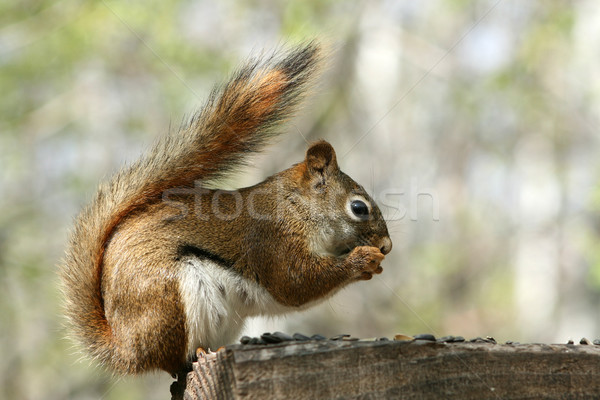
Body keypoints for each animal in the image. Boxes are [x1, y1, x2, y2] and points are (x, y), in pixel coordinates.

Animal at [58, 43, 392, 376]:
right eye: (359, 208)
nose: (387, 247)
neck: (296, 206)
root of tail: (125, 349)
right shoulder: (272, 239)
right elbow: (295, 282)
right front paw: (362, 259)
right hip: (169, 300)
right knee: (171, 362)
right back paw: (194, 356)